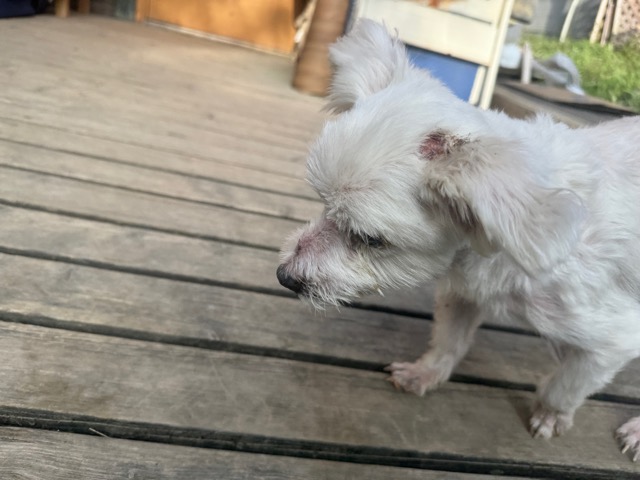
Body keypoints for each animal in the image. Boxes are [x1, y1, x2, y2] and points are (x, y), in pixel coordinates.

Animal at [277, 20, 640, 458]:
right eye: (322, 205)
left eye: (371, 239)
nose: (284, 276)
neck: (497, 243)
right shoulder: (462, 291)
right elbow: (449, 340)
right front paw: (424, 374)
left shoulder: (612, 337)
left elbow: (566, 384)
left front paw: (551, 415)